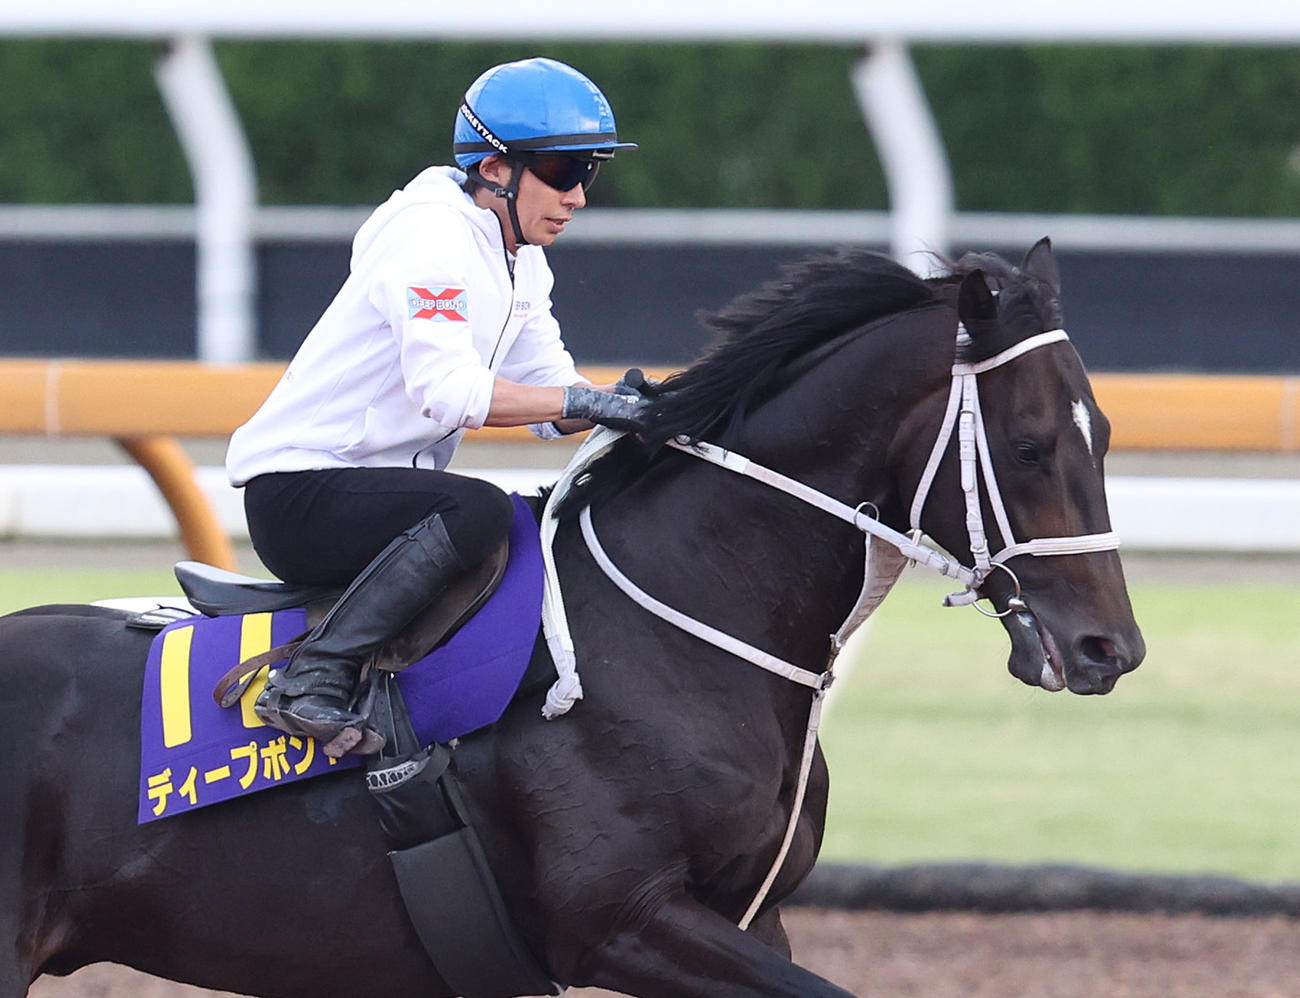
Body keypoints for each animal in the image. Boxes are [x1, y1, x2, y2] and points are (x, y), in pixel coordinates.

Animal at [0, 238, 1143, 998]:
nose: (1110, 649)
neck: (680, 623)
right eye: (1033, 445)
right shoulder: (621, 921)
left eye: (1104, 430)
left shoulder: (750, 913)